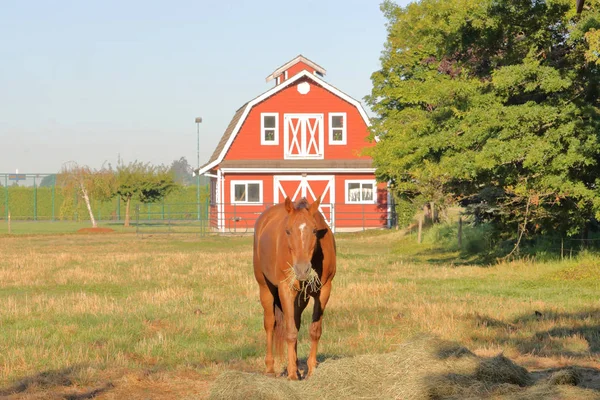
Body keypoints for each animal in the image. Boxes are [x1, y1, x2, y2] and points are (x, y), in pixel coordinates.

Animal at [253, 195, 338, 380]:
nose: (302, 270)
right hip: (265, 289)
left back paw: (299, 367)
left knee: (296, 322)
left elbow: (314, 330)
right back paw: (270, 368)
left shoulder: (324, 291)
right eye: (288, 231)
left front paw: (311, 370)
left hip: (300, 299)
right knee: (270, 324)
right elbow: (290, 332)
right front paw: (291, 374)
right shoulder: (286, 289)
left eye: (314, 230)